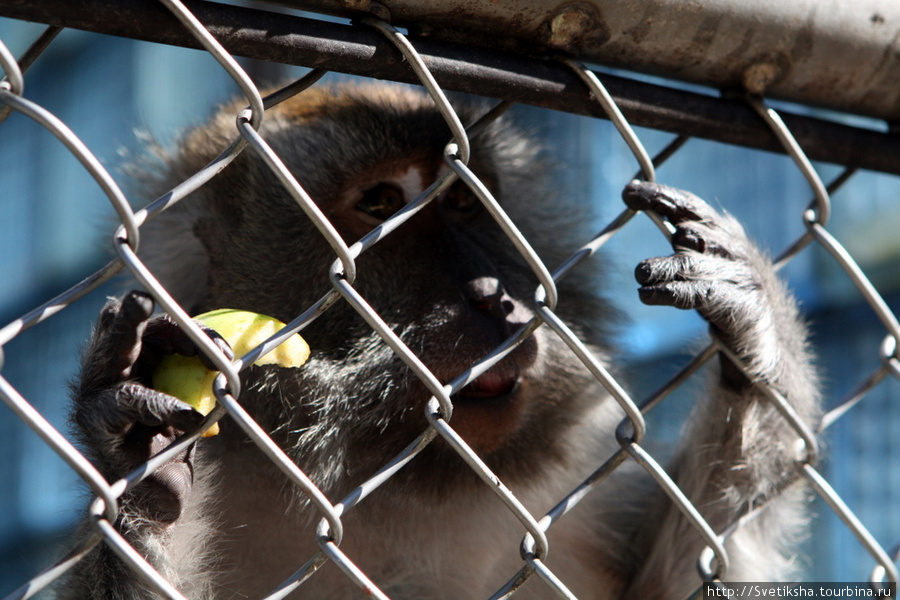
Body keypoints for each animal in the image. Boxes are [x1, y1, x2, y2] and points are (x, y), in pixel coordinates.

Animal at [63, 83, 820, 600]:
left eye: (459, 199)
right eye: (380, 203)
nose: (493, 295)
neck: (392, 471)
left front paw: (753, 330)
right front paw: (142, 466)